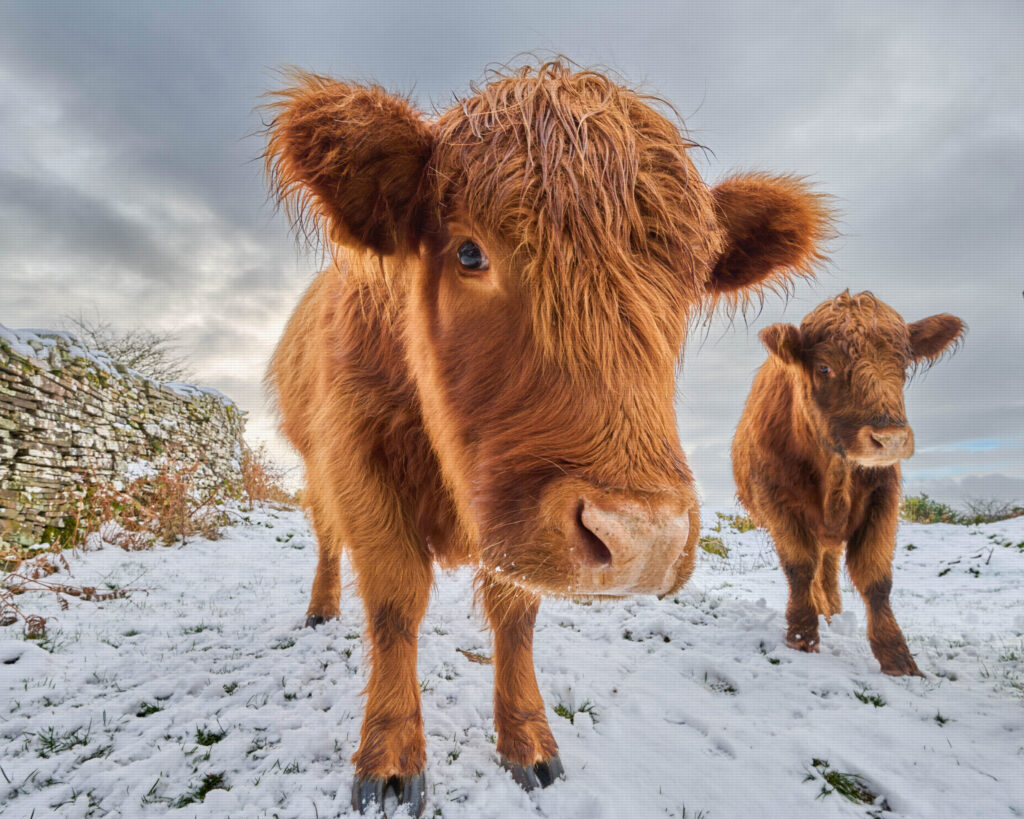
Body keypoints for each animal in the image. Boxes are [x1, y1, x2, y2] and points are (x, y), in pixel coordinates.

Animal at [264, 61, 833, 816]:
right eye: (469, 251)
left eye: (689, 279)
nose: (642, 539)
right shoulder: (359, 460)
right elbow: (394, 602)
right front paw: (389, 759)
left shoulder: (523, 536)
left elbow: (516, 615)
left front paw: (527, 741)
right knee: (327, 538)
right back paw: (321, 609)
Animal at [732, 290, 964, 678]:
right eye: (824, 367)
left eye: (904, 365)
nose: (890, 439)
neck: (834, 474)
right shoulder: (777, 504)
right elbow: (799, 568)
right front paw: (802, 637)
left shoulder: (882, 501)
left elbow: (876, 579)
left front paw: (897, 659)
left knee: (827, 569)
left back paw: (833, 612)